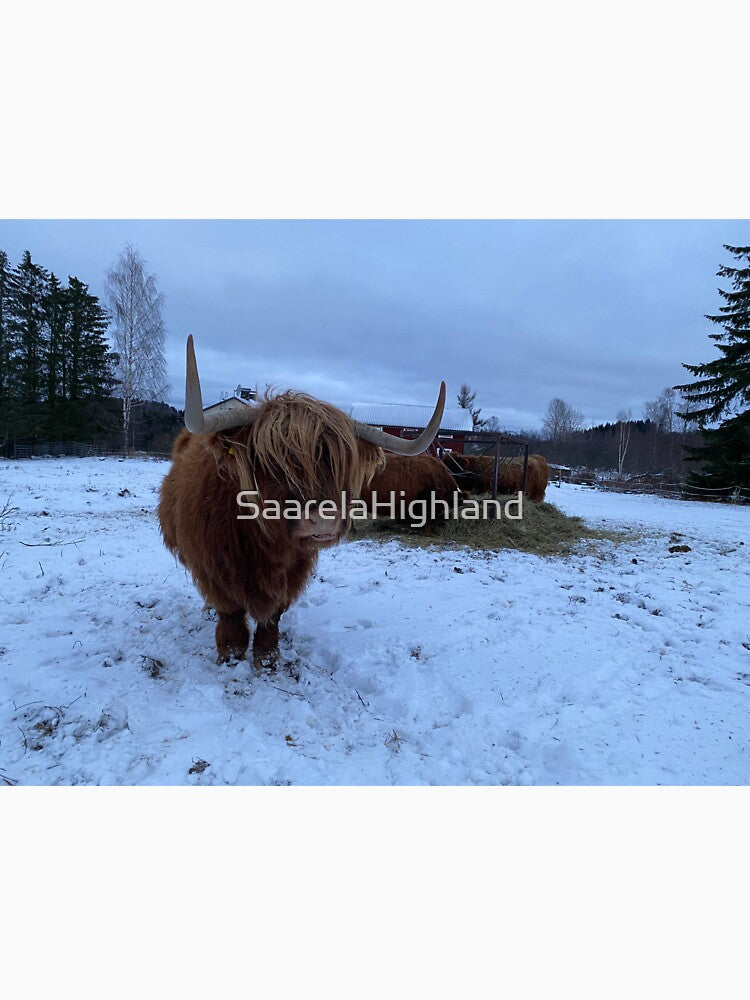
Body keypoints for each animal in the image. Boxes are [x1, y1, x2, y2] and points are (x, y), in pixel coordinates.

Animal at [158, 337, 446, 669]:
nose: (323, 517)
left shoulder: (294, 571)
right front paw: (230, 659)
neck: (262, 543)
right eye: (269, 463)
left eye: (340, 464)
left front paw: (267, 661)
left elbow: (272, 617)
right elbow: (231, 618)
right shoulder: (215, 569)